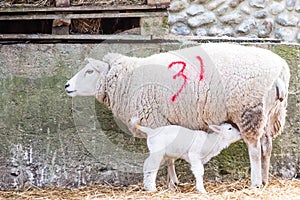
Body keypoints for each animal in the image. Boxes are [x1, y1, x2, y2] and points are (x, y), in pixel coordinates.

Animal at [64, 43, 290, 188]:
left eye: (89, 71)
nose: (66, 86)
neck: (127, 80)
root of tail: (281, 70)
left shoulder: (155, 120)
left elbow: (166, 158)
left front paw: (171, 182)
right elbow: (169, 155)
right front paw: (173, 181)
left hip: (249, 109)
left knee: (254, 149)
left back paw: (255, 183)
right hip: (271, 113)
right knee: (267, 146)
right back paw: (265, 180)